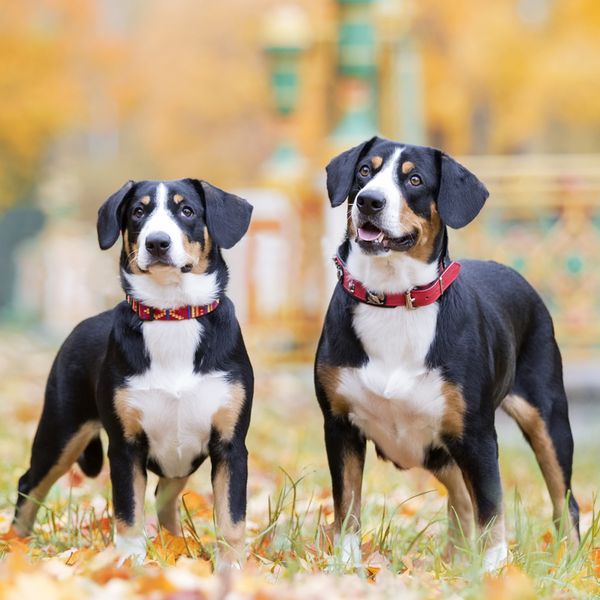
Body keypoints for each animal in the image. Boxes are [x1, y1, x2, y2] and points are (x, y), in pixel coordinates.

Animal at [13, 177, 253, 568]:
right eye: (138, 212)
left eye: (187, 210)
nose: (157, 242)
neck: (172, 316)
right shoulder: (125, 447)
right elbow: (128, 514)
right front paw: (130, 567)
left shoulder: (230, 444)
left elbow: (232, 519)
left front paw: (232, 570)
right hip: (61, 431)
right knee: (29, 484)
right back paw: (14, 547)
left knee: (164, 495)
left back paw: (176, 544)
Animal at [316, 137, 580, 572]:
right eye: (365, 171)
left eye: (415, 180)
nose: (369, 201)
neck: (394, 301)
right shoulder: (340, 426)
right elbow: (347, 505)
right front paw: (345, 566)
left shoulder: (476, 435)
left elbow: (492, 507)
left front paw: (493, 571)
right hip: (438, 448)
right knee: (461, 499)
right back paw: (456, 561)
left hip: (547, 419)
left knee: (564, 500)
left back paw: (569, 562)